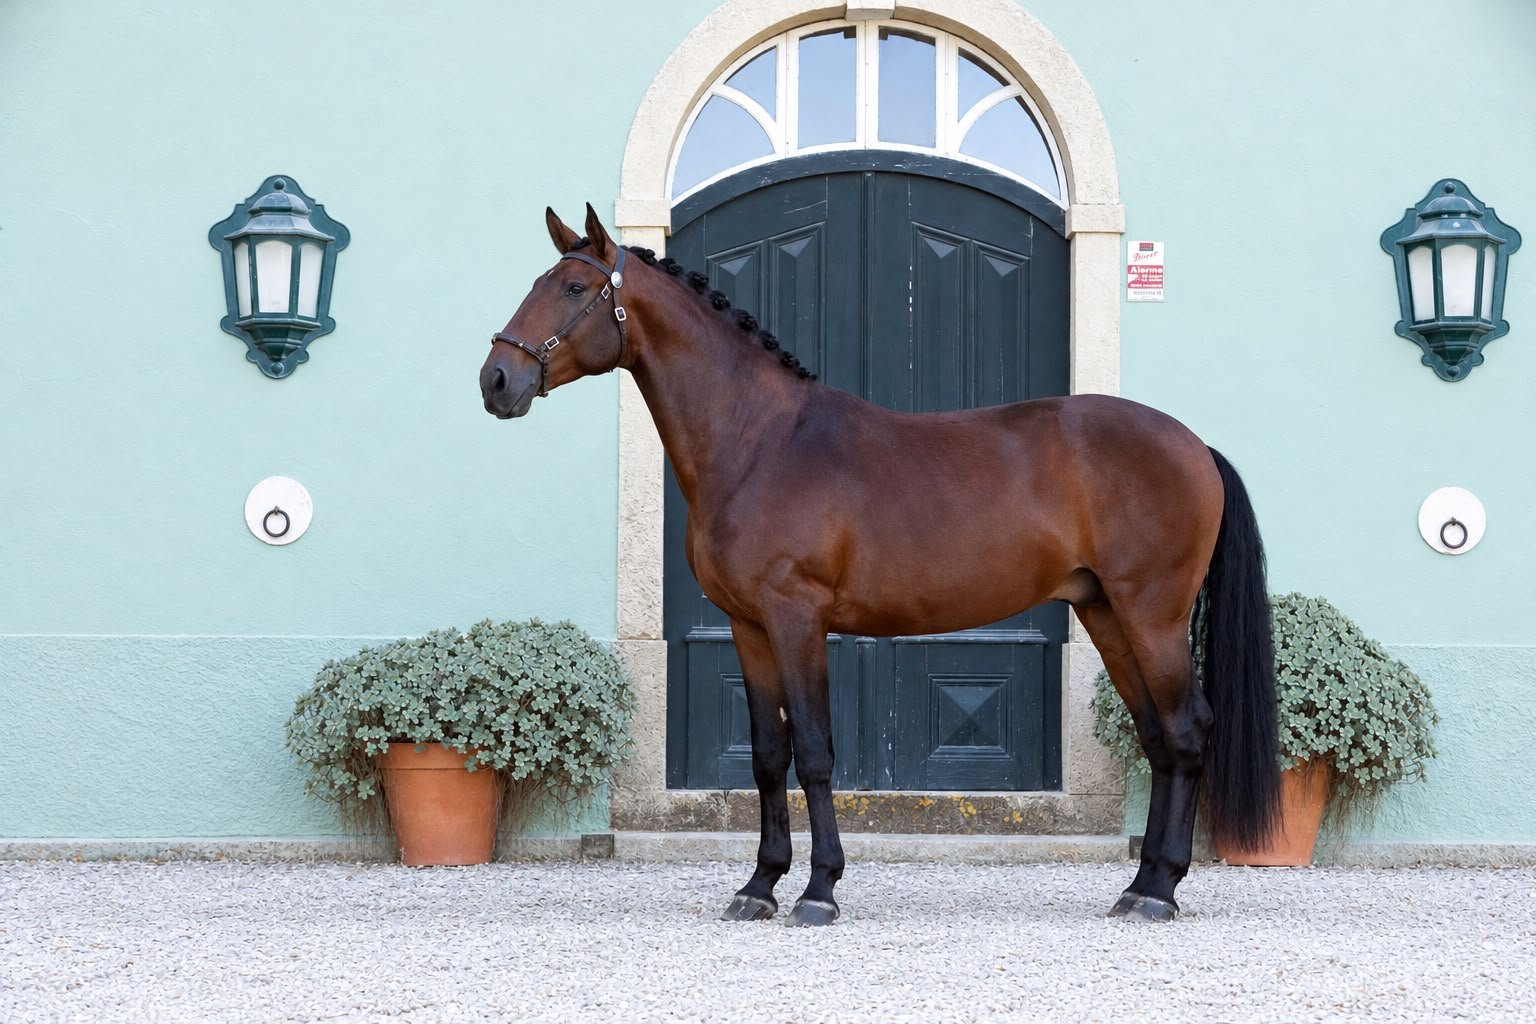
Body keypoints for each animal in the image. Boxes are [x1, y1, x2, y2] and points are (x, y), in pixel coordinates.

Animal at [480, 204, 1280, 926]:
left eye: (574, 288)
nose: (496, 379)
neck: (760, 442)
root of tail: (1194, 446)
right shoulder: (748, 627)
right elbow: (767, 755)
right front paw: (758, 886)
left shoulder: (798, 618)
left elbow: (813, 751)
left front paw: (818, 890)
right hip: (1107, 612)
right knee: (1159, 738)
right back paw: (1138, 887)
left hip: (1152, 614)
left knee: (1186, 731)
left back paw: (1161, 891)